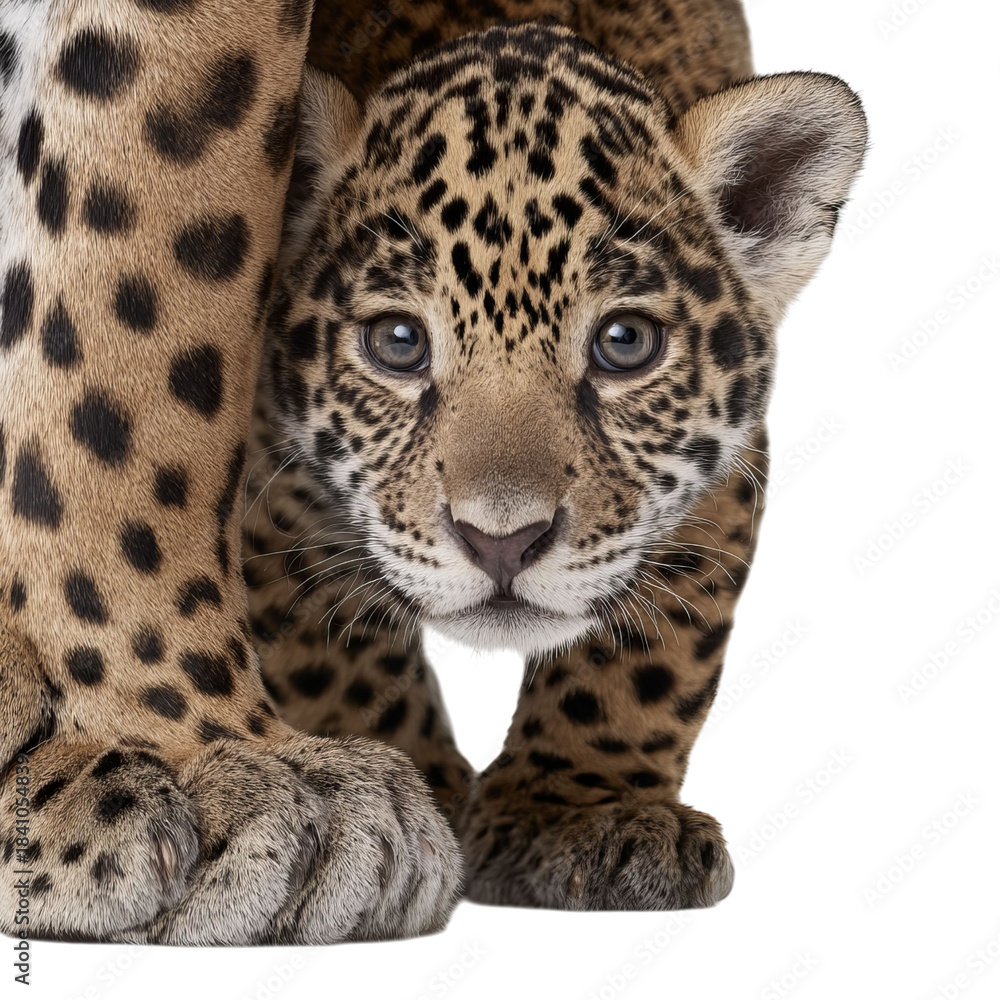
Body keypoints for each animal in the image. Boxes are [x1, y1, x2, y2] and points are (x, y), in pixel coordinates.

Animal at [0, 0, 866, 944]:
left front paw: (581, 811)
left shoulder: (721, 470)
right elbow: (325, 640)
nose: (503, 542)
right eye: (398, 342)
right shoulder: (277, 497)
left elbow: (656, 647)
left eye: (625, 342)